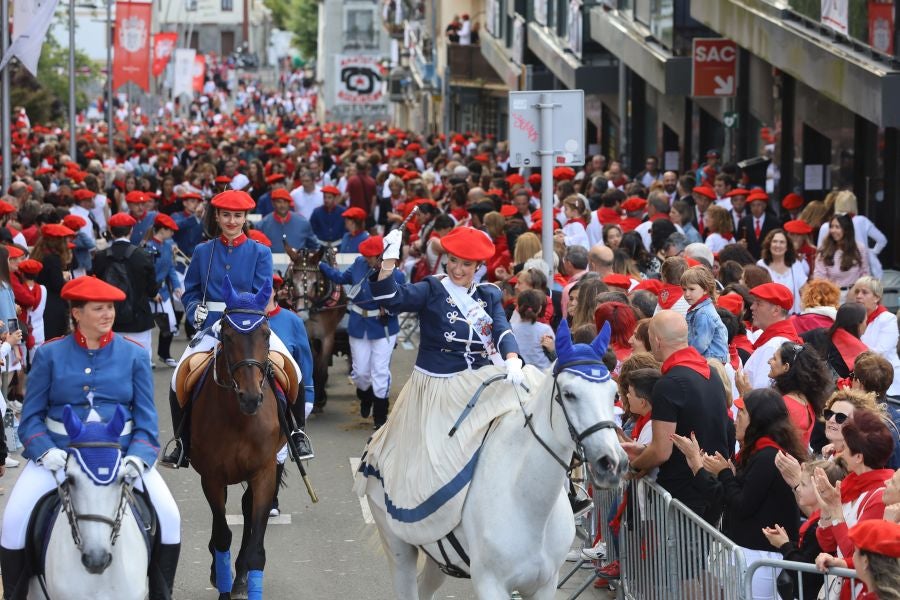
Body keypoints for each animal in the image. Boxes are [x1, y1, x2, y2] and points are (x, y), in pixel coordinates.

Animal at [190, 280, 284, 600]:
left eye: (266, 333)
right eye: (228, 336)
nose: (251, 397)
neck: (239, 419)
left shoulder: (264, 472)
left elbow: (256, 543)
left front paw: (244, 574)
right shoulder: (211, 476)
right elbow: (222, 536)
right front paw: (222, 583)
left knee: (248, 509)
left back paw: (241, 575)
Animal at [284, 241, 348, 410]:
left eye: (316, 283)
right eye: (291, 283)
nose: (302, 315)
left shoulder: (327, 336)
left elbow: (321, 366)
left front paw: (319, 398)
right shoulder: (308, 335)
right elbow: (313, 363)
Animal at [366, 322, 624, 596]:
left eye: (614, 394)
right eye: (569, 394)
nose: (612, 463)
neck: (528, 502)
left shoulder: (545, 584)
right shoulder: (490, 583)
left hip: (438, 559)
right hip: (398, 548)